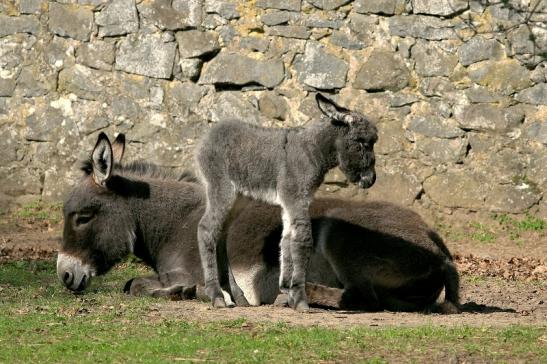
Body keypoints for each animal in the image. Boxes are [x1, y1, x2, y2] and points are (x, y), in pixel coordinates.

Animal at [195, 93, 378, 310]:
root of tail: (210, 133)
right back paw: (216, 295)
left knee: (221, 233)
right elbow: (303, 240)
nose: (371, 180)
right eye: (361, 143)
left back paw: (237, 296)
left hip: (239, 198)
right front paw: (299, 298)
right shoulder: (296, 197)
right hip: (221, 188)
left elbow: (288, 240)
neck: (313, 151)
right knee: (206, 229)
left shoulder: (293, 201)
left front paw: (287, 290)